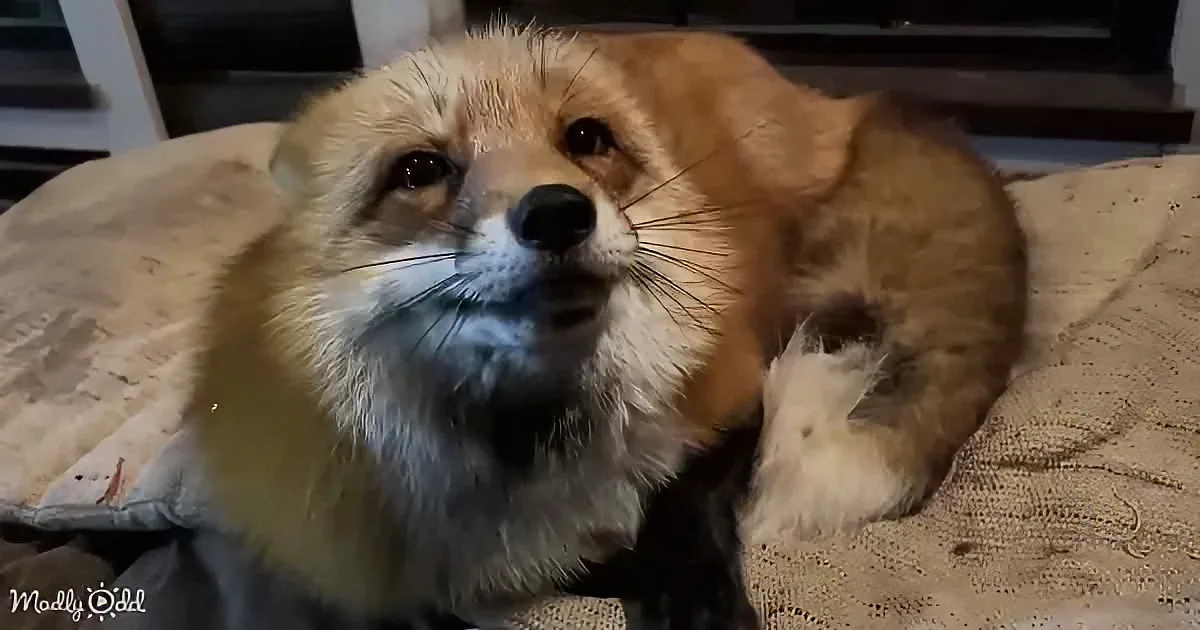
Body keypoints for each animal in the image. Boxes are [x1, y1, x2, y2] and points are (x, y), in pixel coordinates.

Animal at [188, 24, 1026, 630]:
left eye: (585, 138)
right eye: (419, 170)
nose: (559, 212)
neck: (544, 442)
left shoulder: (733, 389)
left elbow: (682, 507)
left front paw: (695, 594)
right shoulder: (385, 570)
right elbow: (561, 560)